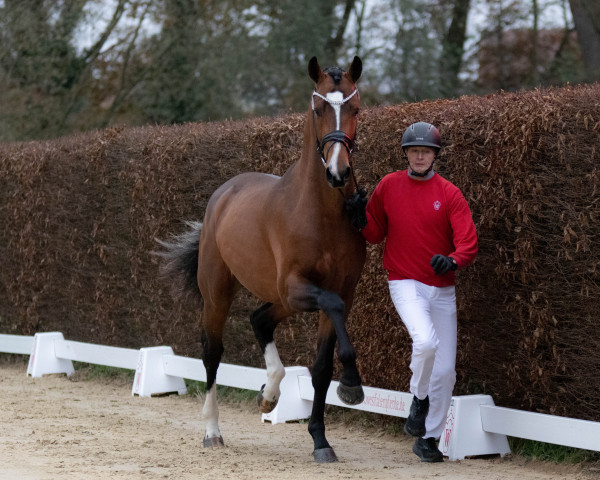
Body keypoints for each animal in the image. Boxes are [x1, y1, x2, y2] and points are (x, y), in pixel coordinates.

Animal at [157, 57, 366, 464]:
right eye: (318, 108)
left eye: (355, 108)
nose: (338, 172)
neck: (321, 213)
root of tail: (224, 192)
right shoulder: (301, 287)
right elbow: (330, 312)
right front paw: (351, 384)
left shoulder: (339, 293)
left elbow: (320, 369)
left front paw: (321, 440)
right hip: (221, 294)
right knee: (212, 353)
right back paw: (213, 431)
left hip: (283, 298)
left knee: (259, 319)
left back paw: (268, 396)